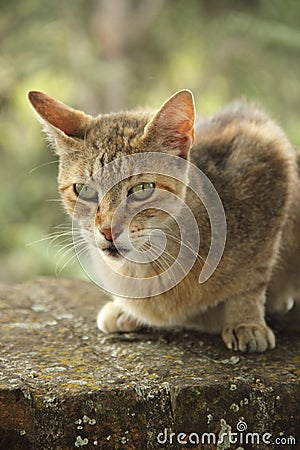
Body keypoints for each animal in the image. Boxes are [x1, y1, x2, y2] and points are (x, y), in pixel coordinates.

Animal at [28, 89, 300, 354]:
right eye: (83, 189)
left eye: (143, 189)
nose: (108, 230)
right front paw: (124, 309)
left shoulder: (266, 154)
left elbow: (253, 278)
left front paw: (247, 321)